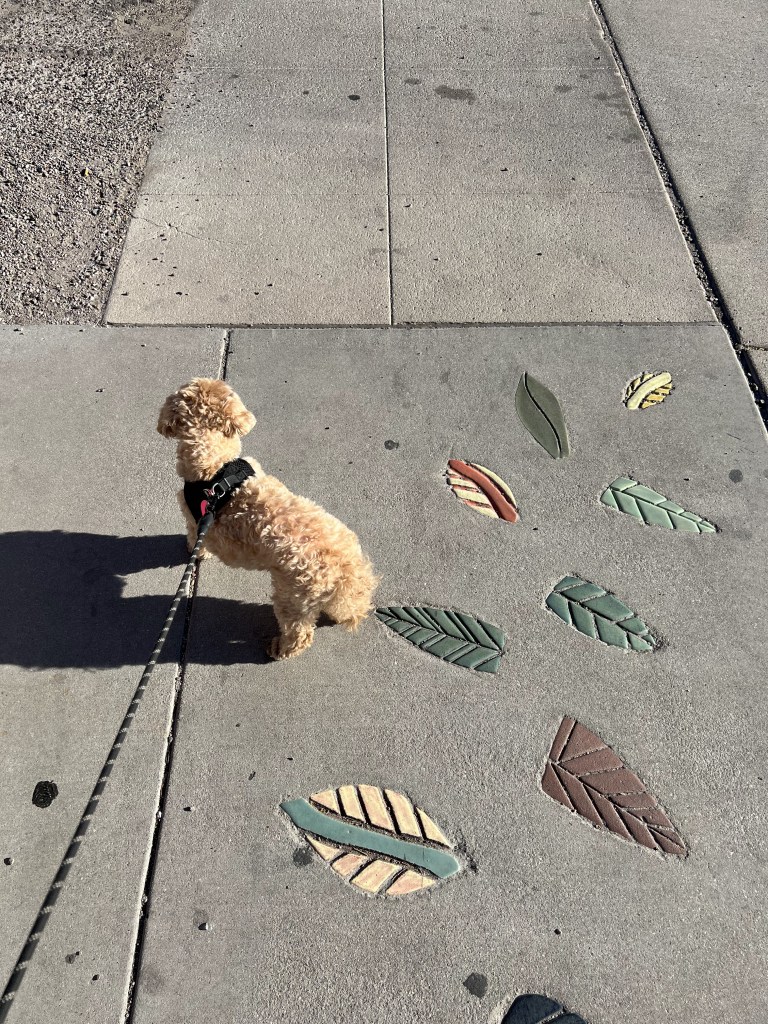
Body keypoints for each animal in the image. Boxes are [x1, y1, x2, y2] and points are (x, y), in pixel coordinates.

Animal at [157, 378, 378, 660]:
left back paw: (280, 649)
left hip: (290, 597)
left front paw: (194, 552)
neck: (216, 468)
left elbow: (196, 540)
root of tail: (345, 567)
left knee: (299, 634)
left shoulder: (196, 520)